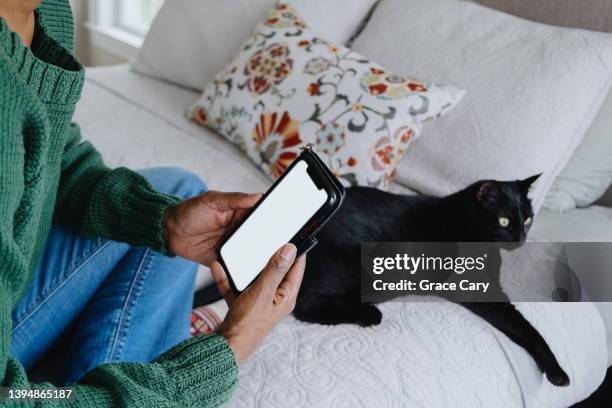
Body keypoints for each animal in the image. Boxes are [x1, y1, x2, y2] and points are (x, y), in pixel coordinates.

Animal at [294, 175, 572, 386]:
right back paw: (369, 314)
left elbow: (519, 327)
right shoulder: (478, 291)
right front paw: (558, 371)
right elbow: (526, 327)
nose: (521, 238)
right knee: (305, 305)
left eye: (528, 219)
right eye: (504, 221)